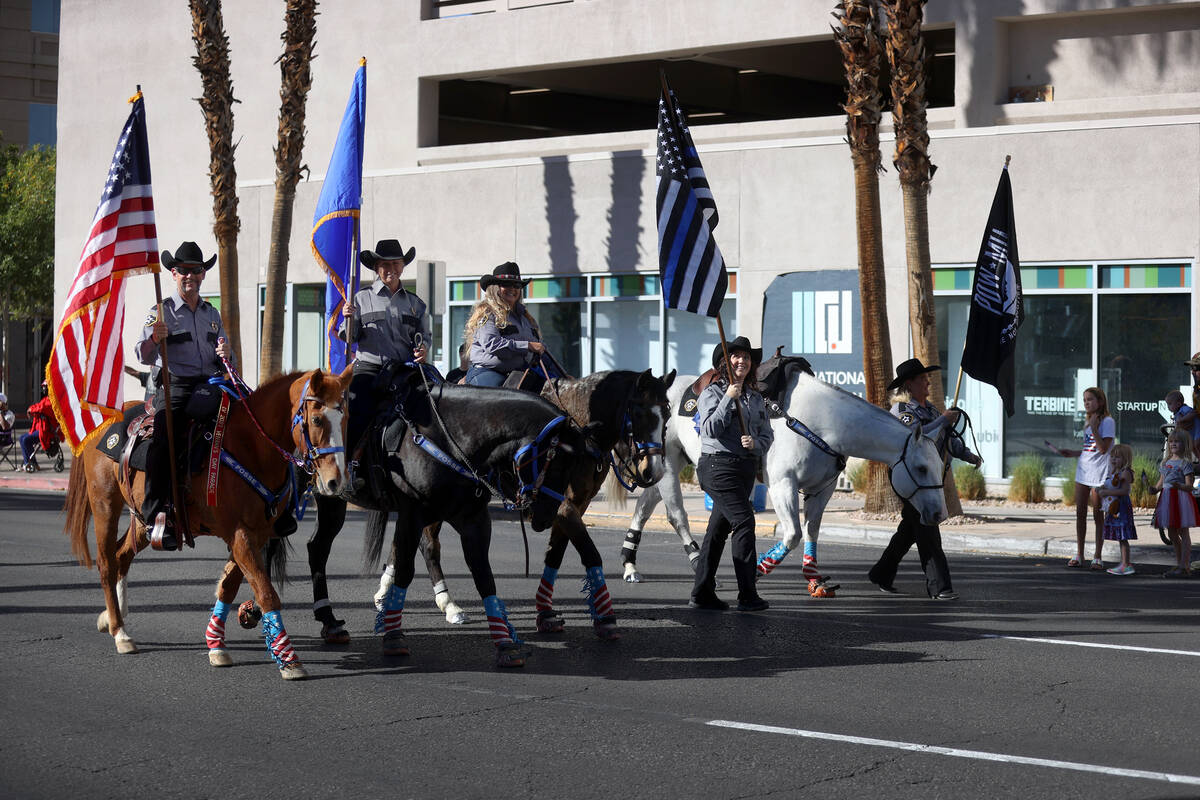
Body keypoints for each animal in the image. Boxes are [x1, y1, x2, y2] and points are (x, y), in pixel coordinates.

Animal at [62, 367, 350, 681]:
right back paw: (120, 632)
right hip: (105, 505)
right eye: (317, 419)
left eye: (346, 418)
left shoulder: (256, 534)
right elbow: (266, 593)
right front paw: (289, 660)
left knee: (121, 555)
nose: (335, 482)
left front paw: (216, 643)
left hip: (144, 521)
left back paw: (113, 617)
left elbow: (229, 586)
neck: (250, 446)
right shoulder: (239, 534)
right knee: (106, 563)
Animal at [624, 359, 950, 597]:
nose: (938, 515)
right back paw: (692, 563)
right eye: (922, 468)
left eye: (940, 466)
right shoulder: (783, 485)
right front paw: (756, 571)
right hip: (666, 464)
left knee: (644, 505)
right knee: (676, 514)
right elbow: (792, 534)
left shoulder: (823, 489)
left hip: (667, 465)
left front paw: (814, 578)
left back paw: (630, 566)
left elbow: (811, 531)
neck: (822, 421)